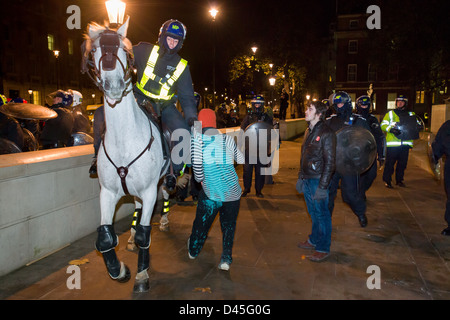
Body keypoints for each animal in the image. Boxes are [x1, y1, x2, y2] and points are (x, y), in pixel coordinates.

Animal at [81, 18, 164, 292]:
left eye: (124, 51)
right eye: (95, 51)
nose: (115, 86)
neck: (125, 138)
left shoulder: (149, 191)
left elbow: (145, 235)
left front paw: (141, 274)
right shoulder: (107, 193)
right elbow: (105, 238)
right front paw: (120, 271)